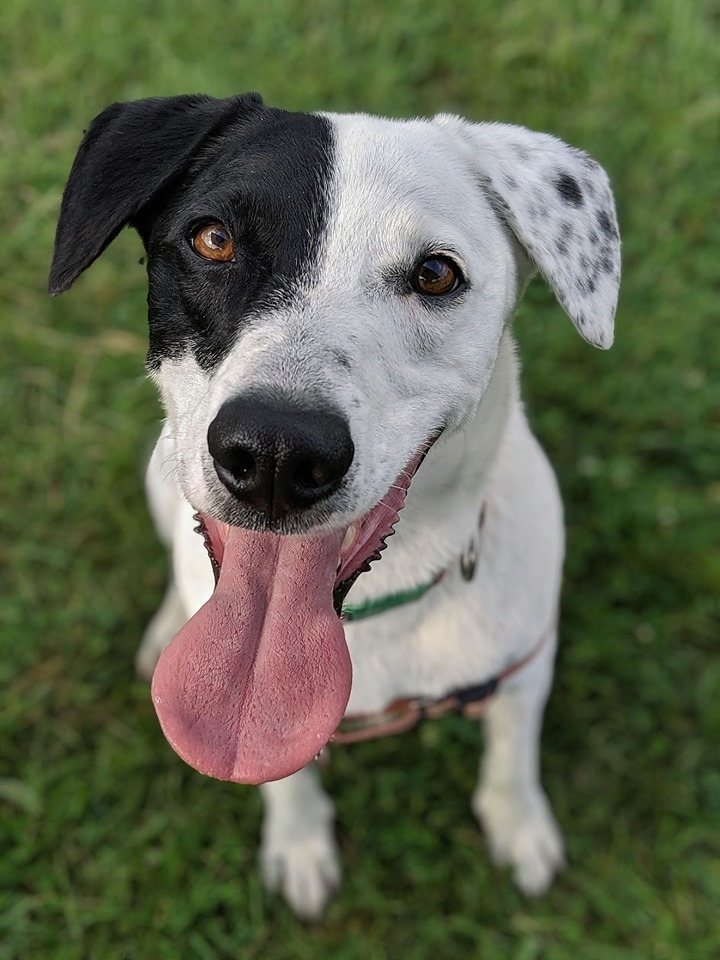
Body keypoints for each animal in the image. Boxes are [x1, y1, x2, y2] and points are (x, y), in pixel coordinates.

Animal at [47, 92, 620, 924]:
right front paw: (300, 842)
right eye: (213, 239)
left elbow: (513, 756)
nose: (278, 455)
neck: (377, 611)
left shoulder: (524, 666)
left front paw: (520, 827)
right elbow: (284, 774)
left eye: (436, 274)